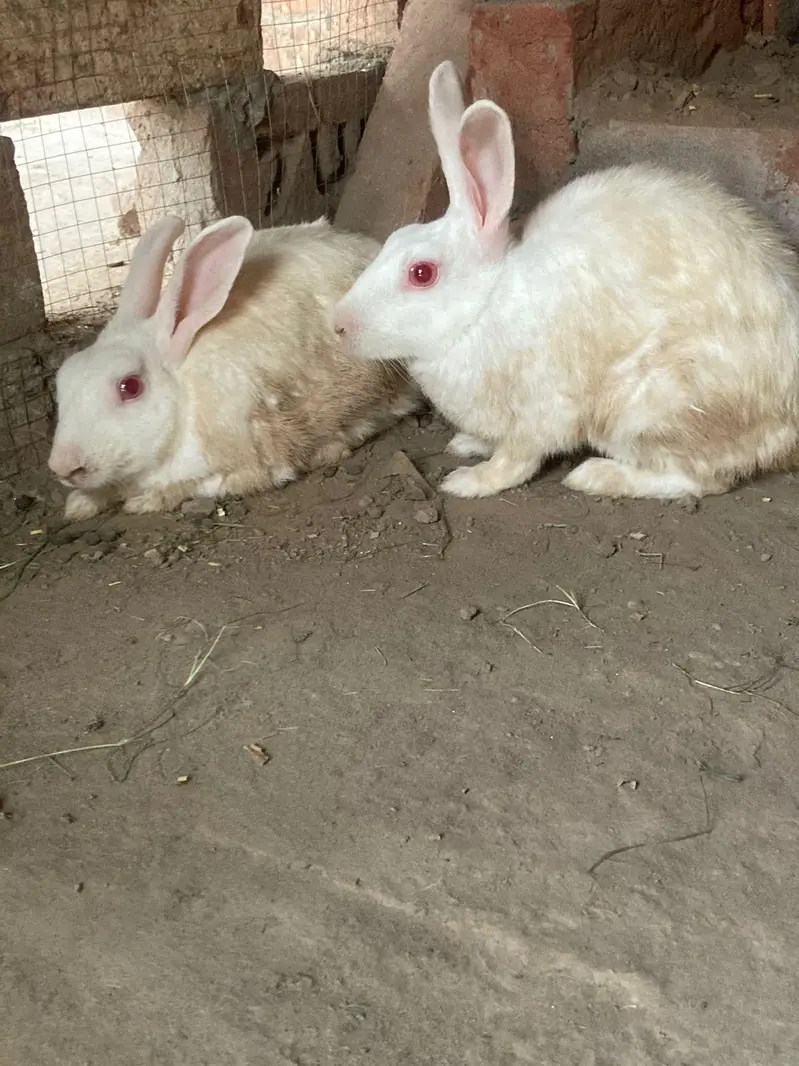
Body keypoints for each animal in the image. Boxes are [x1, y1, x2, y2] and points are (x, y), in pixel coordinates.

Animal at [48, 214, 420, 521]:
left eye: (130, 386)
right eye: (62, 381)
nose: (64, 466)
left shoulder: (247, 462)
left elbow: (207, 483)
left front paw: (146, 500)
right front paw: (79, 505)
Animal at [331, 60, 799, 501]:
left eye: (421, 273)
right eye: (393, 240)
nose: (339, 326)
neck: (483, 307)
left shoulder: (538, 414)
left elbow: (516, 461)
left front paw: (469, 481)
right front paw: (467, 443)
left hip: (651, 410)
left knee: (697, 479)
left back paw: (595, 476)